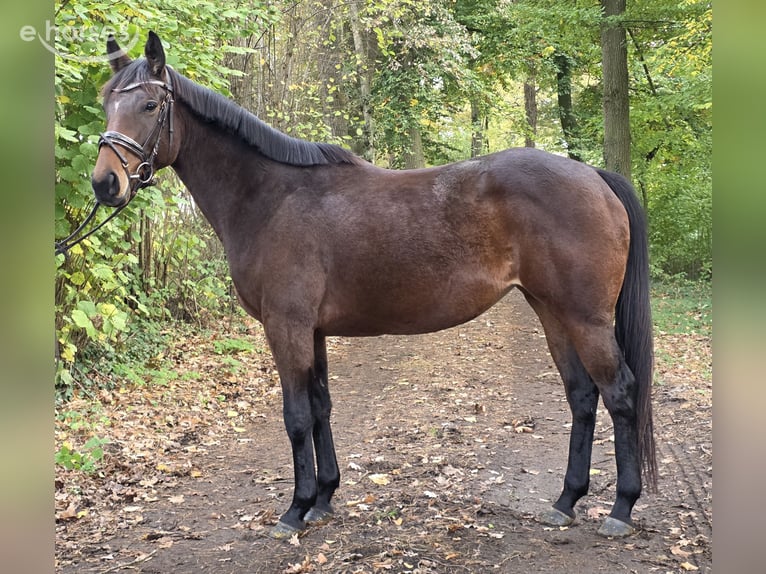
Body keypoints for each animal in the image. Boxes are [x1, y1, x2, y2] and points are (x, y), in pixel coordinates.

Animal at [90, 31, 656, 539]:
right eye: (105, 104)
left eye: (148, 105)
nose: (105, 183)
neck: (271, 197)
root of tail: (594, 176)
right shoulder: (312, 331)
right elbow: (320, 407)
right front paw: (323, 499)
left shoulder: (286, 326)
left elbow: (296, 415)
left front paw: (295, 509)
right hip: (551, 310)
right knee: (582, 395)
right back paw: (565, 502)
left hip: (585, 318)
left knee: (620, 393)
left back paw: (621, 509)